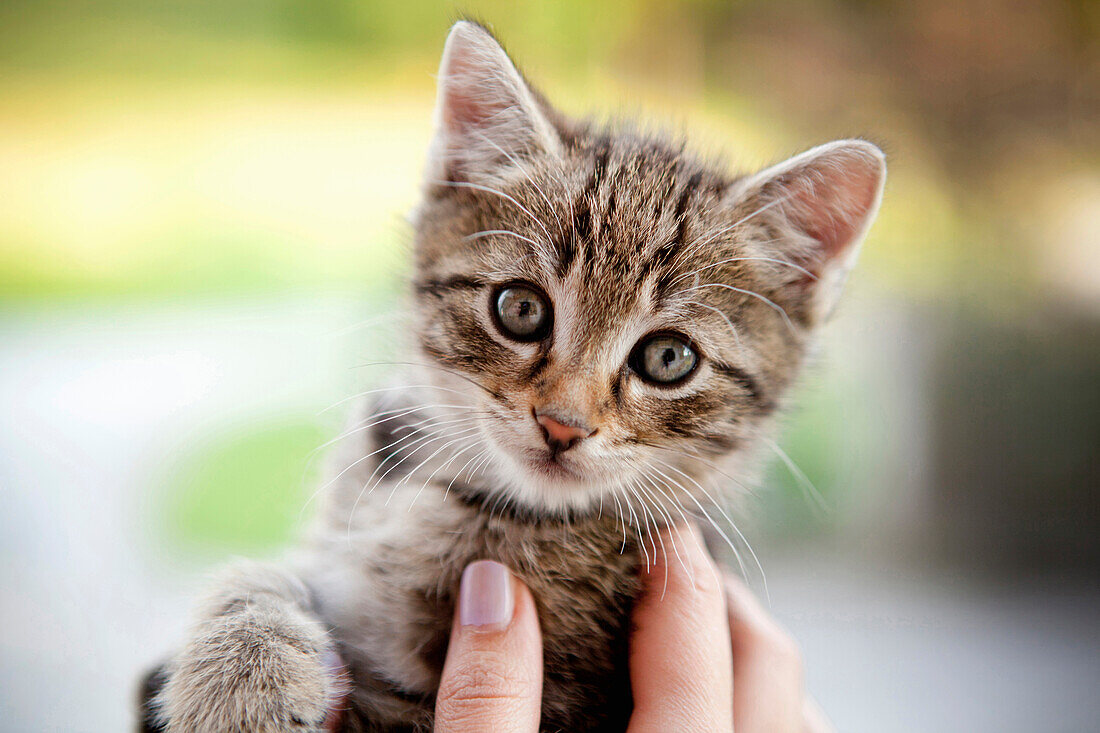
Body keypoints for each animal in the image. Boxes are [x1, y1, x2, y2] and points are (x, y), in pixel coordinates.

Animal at [141, 19, 888, 726]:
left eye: (669, 358)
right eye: (521, 309)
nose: (562, 425)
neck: (459, 493)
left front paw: (242, 677)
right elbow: (270, 575)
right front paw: (245, 664)